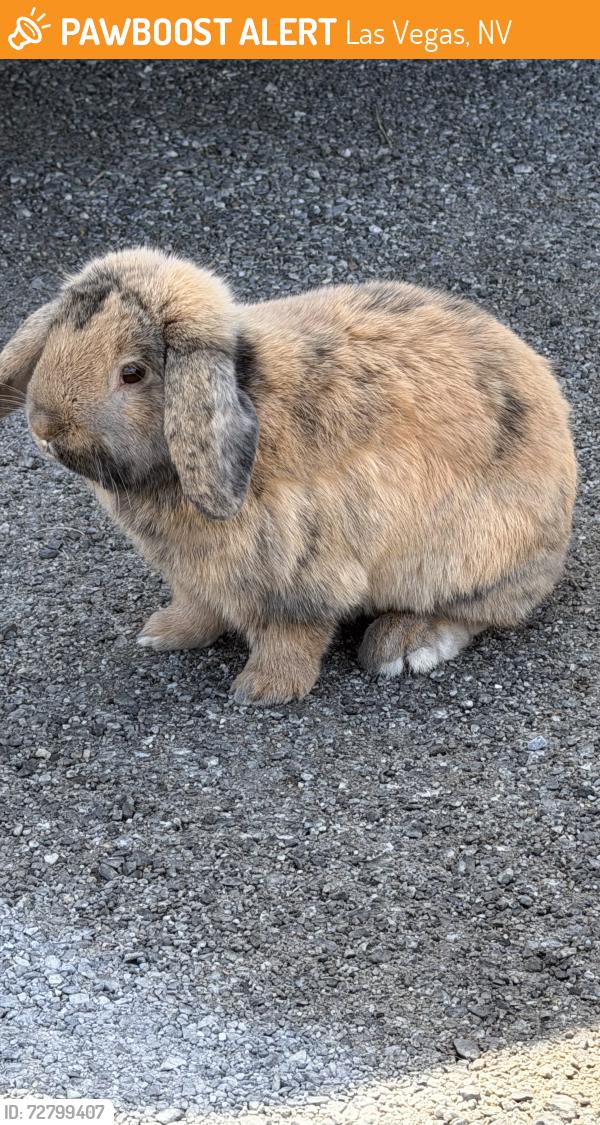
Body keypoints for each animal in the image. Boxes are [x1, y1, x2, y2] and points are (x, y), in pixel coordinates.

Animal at [0, 247, 576, 703]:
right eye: (55, 341)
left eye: (132, 372)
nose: (45, 427)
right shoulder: (194, 575)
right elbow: (197, 608)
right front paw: (161, 635)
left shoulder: (297, 572)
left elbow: (291, 635)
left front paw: (261, 692)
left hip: (470, 555)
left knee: (475, 613)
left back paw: (401, 646)